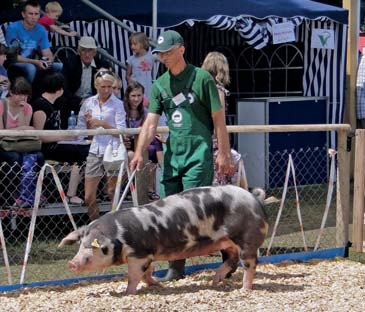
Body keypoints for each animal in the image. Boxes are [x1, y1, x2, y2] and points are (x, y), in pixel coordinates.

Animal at [57, 185, 268, 294]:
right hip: (226, 241)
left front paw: (128, 293)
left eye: (90, 250)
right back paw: (215, 282)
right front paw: (158, 284)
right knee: (232, 259)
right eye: (80, 246)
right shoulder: (148, 254)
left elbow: (134, 275)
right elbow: (147, 272)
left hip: (246, 238)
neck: (118, 234)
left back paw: (244, 289)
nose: (71, 263)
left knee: (249, 264)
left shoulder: (138, 254)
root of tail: (254, 198)